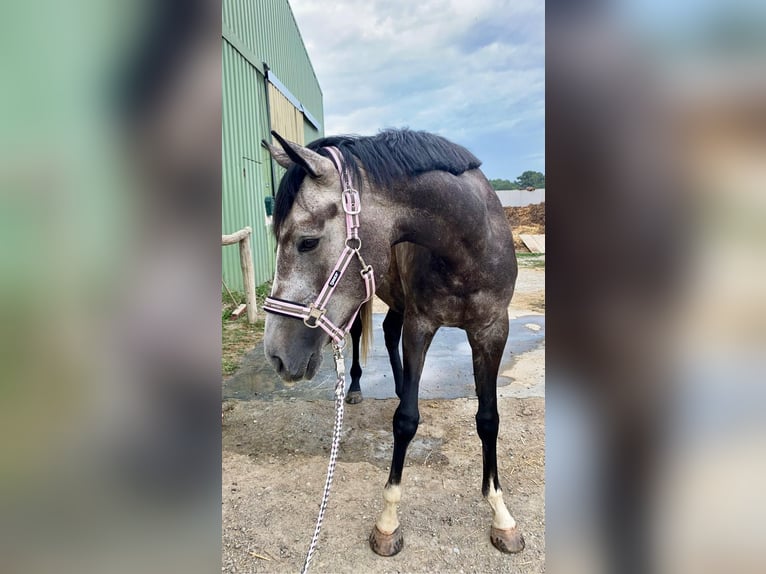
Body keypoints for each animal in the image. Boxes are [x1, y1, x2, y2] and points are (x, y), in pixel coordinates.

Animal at [260, 129, 524, 560]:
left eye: (307, 242)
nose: (277, 355)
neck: (469, 245)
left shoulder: (492, 330)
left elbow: (489, 419)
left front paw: (501, 515)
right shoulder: (421, 326)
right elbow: (405, 421)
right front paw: (387, 523)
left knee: (387, 333)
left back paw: (400, 386)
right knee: (362, 338)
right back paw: (354, 388)